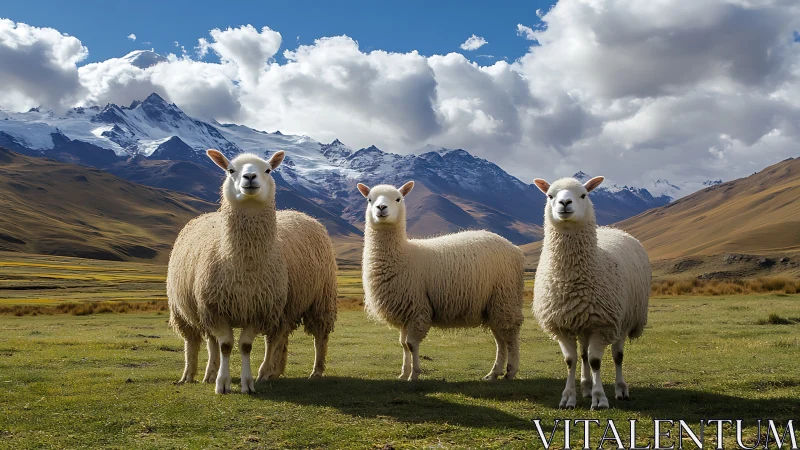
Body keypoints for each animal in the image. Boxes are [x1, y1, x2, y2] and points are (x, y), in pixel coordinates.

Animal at [167, 149, 337, 394]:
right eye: (230, 170)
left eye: (268, 170)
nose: (249, 177)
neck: (243, 266)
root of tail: (301, 213)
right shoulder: (215, 308)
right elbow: (225, 345)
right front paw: (222, 382)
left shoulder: (259, 309)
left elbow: (245, 346)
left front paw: (247, 383)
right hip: (184, 309)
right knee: (196, 341)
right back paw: (194, 374)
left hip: (319, 298)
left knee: (316, 336)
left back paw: (310, 371)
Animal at [357, 181, 524, 381]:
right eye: (369, 199)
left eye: (398, 199)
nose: (381, 208)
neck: (404, 254)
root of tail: (514, 248)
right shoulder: (405, 311)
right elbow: (403, 344)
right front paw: (403, 374)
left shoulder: (418, 307)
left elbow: (411, 344)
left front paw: (414, 374)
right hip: (493, 305)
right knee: (500, 338)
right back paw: (494, 373)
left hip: (505, 296)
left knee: (511, 335)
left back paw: (511, 371)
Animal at [531, 176, 650, 409]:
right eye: (550, 195)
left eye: (583, 195)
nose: (564, 203)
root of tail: (612, 229)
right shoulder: (562, 324)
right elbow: (571, 361)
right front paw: (568, 397)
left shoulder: (603, 323)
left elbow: (597, 361)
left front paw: (600, 398)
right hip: (583, 321)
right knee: (584, 355)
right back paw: (585, 387)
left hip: (623, 319)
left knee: (617, 355)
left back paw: (620, 389)